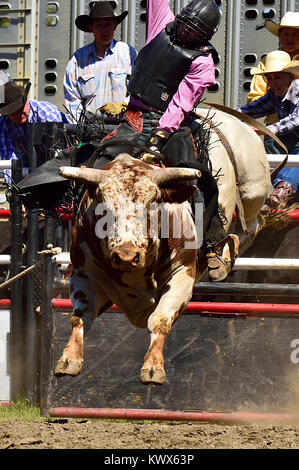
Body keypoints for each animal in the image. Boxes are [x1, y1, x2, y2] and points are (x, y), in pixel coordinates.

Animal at [54, 108, 274, 384]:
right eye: (102, 205)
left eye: (152, 202)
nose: (126, 256)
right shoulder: (84, 274)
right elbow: (79, 317)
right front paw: (68, 359)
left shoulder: (183, 275)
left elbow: (160, 320)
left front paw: (153, 366)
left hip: (253, 188)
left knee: (252, 225)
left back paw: (223, 255)